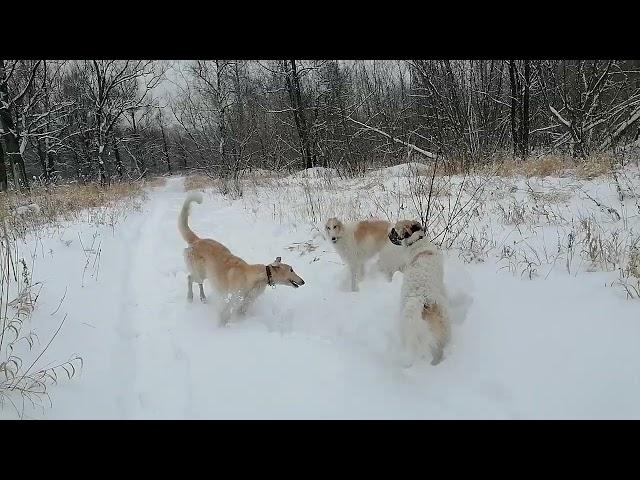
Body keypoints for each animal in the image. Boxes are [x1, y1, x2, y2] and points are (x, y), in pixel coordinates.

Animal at [179, 193, 306, 324]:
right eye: (291, 269)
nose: (303, 281)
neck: (254, 276)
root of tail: (197, 240)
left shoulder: (247, 301)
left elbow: (241, 312)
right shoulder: (233, 298)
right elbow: (225, 314)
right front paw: (221, 325)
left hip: (204, 274)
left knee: (198, 283)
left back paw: (203, 298)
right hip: (199, 272)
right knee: (189, 278)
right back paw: (190, 297)